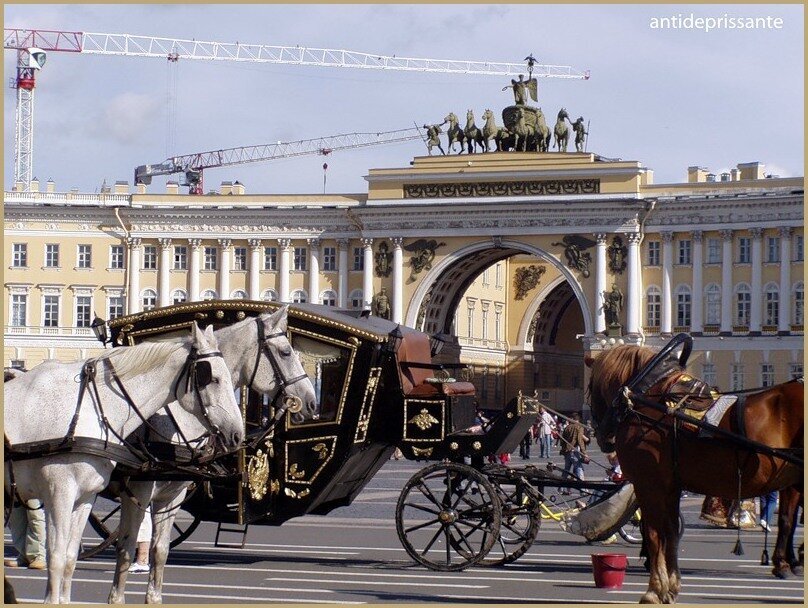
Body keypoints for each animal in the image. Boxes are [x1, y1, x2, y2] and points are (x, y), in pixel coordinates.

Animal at [3, 324, 243, 604]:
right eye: (214, 378)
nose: (237, 435)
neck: (89, 408)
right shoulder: (60, 494)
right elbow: (58, 558)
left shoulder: (86, 497)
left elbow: (71, 559)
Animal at [102, 308, 316, 604]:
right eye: (285, 352)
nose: (310, 402)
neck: (173, 416)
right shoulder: (138, 492)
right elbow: (125, 548)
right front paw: (116, 599)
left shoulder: (173, 495)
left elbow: (160, 551)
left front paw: (153, 598)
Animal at [588, 338, 800, 604]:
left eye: (589, 387)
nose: (601, 436)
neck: (649, 400)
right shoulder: (670, 486)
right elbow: (670, 532)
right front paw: (671, 587)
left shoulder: (649, 485)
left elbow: (654, 533)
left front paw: (654, 590)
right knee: (787, 519)